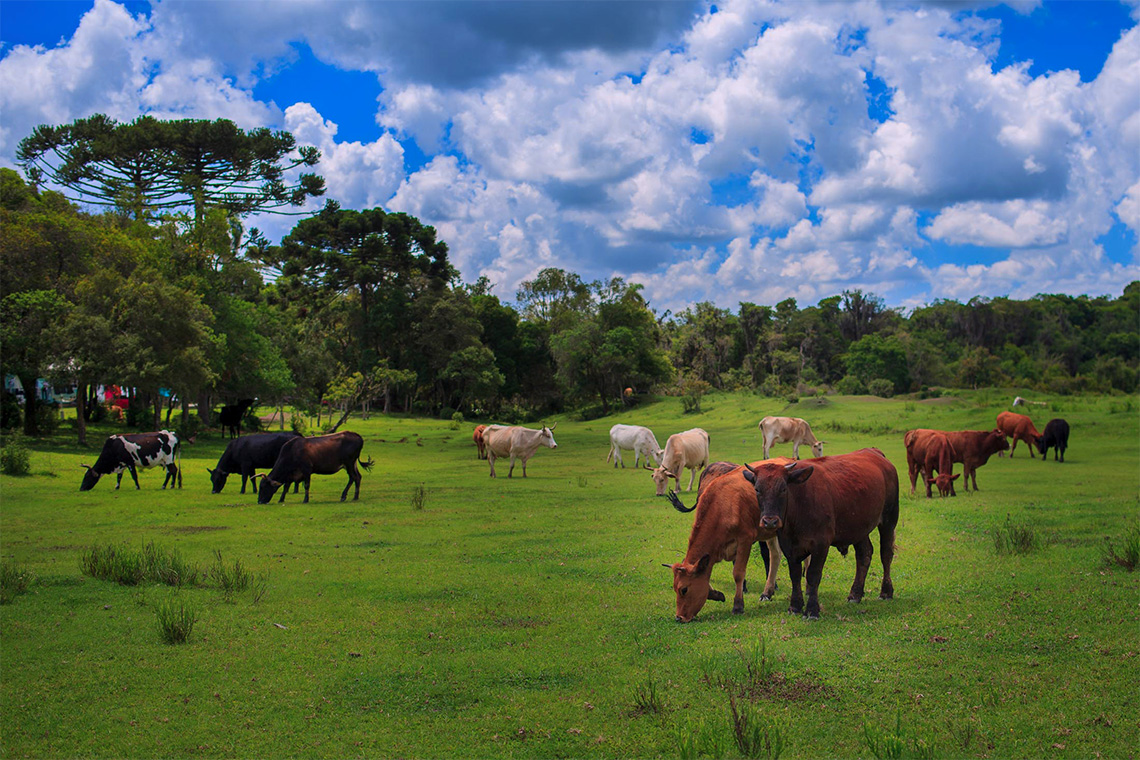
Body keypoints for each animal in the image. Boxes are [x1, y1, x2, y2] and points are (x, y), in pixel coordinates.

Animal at [661, 460, 784, 619]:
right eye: (675, 589)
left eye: (684, 589)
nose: (678, 617)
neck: (723, 506)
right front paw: (716, 594)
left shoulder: (745, 539)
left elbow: (738, 573)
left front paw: (738, 605)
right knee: (775, 555)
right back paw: (767, 593)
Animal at [738, 448, 898, 619]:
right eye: (757, 489)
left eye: (783, 489)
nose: (770, 521)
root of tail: (874, 452)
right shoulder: (788, 545)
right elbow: (795, 575)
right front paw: (795, 606)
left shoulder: (821, 544)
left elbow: (813, 575)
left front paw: (812, 610)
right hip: (859, 529)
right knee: (864, 555)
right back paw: (855, 594)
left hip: (889, 520)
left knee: (886, 554)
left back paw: (886, 592)